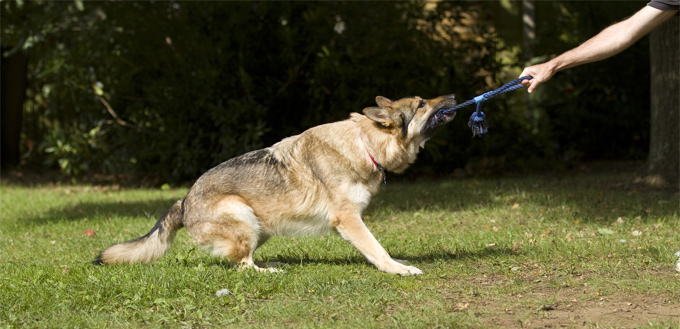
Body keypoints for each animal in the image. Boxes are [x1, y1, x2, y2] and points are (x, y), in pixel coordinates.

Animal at [94, 94, 456, 274]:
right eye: (421, 104)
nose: (453, 94)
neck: (364, 143)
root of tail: (183, 202)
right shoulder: (349, 220)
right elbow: (378, 250)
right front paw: (398, 269)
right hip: (243, 216)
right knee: (242, 267)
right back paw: (270, 271)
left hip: (261, 226)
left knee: (245, 259)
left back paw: (272, 263)